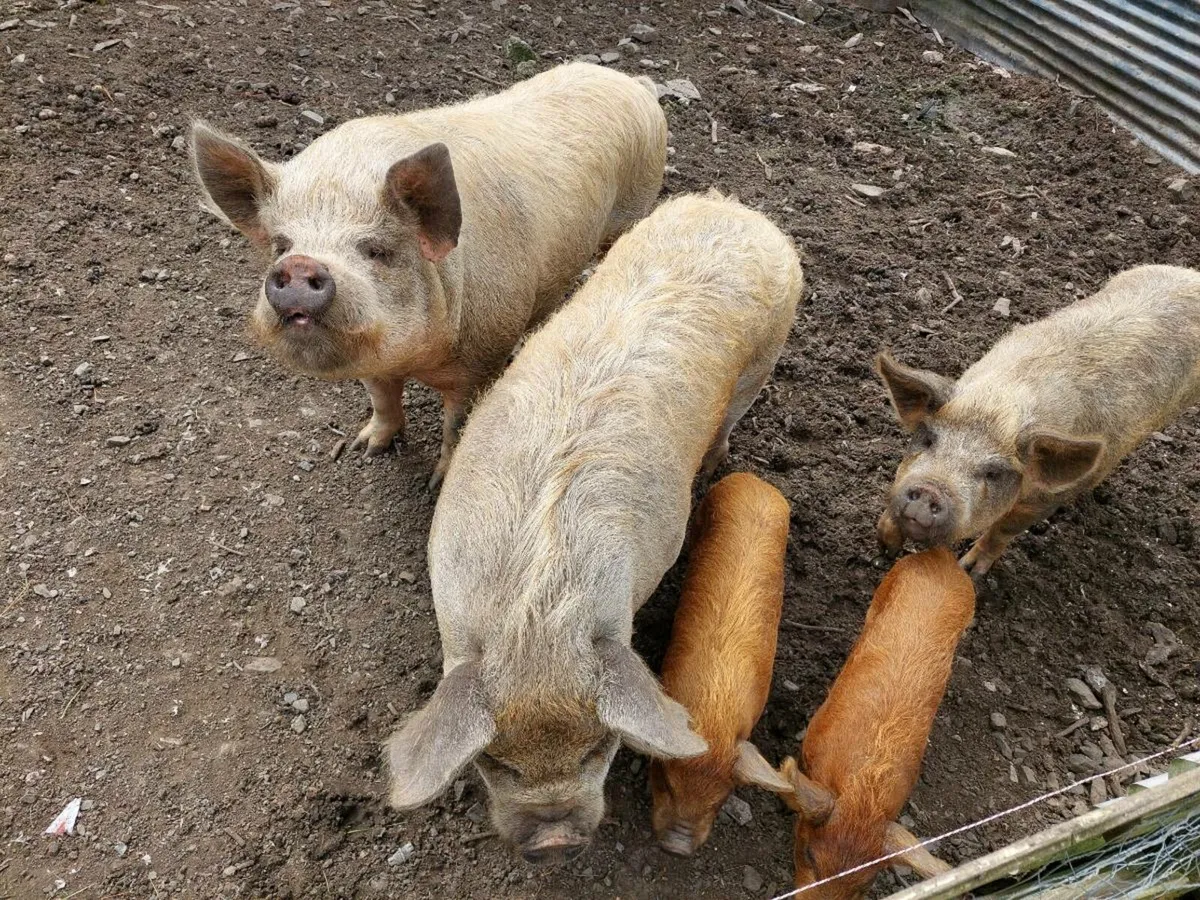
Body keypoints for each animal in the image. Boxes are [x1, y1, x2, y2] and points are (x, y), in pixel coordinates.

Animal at [190, 63, 667, 485]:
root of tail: (633, 82)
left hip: (637, 203)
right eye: (281, 245)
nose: (300, 264)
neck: (417, 359)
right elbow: (381, 397)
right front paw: (365, 448)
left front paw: (435, 484)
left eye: (377, 250)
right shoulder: (372, 360)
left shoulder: (485, 356)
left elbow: (457, 425)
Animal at [875, 265, 1200, 575]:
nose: (930, 489)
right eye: (929, 439)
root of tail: (1191, 276)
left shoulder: (1042, 501)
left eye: (993, 473)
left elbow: (1004, 529)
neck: (1002, 403)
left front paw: (969, 570)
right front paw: (885, 545)